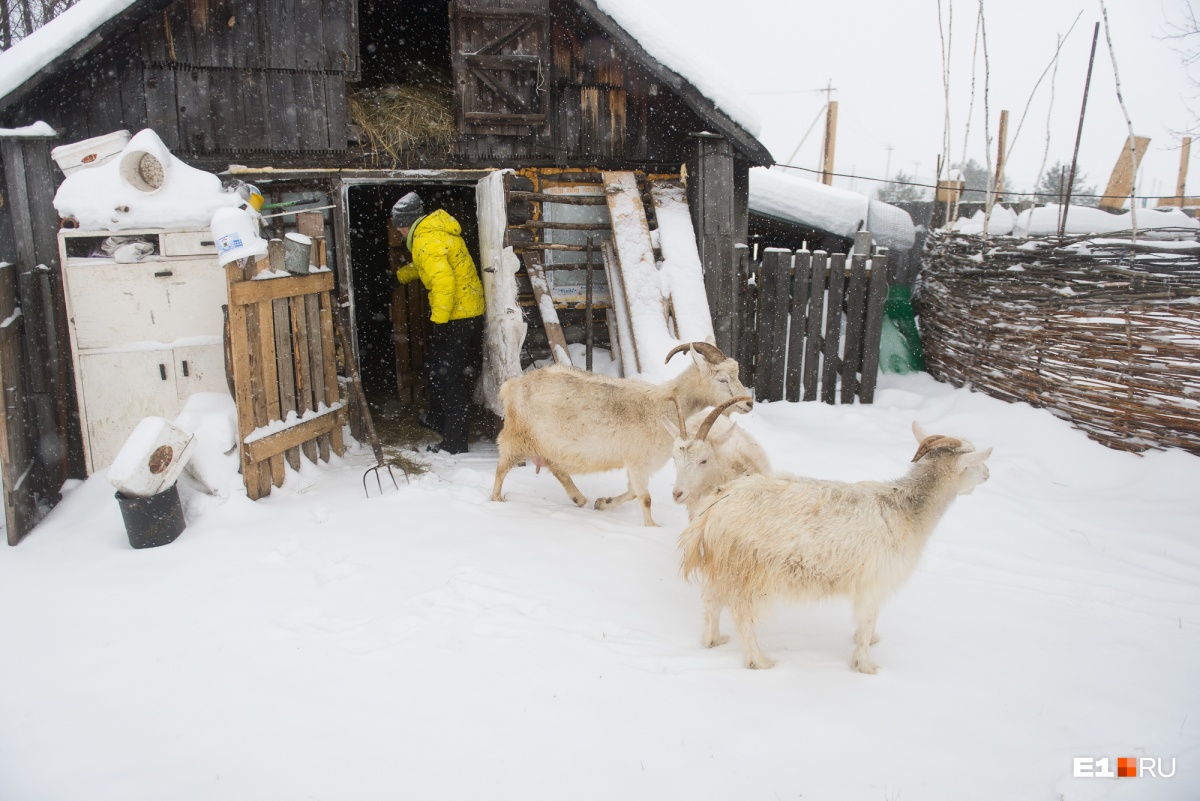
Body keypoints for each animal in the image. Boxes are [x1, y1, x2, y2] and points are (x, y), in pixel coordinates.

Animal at [487, 342, 748, 525]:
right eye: (722, 379)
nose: (748, 403)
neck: (662, 405)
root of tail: (513, 386)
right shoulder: (639, 461)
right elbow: (645, 498)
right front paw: (652, 527)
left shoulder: (635, 463)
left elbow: (632, 493)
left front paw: (603, 503)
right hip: (518, 436)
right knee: (502, 466)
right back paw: (497, 499)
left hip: (547, 443)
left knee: (556, 467)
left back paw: (579, 498)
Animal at [681, 422, 988, 671]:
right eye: (974, 462)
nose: (987, 474)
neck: (906, 510)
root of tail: (713, 508)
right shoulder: (875, 581)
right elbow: (866, 620)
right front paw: (866, 666)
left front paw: (873, 641)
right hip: (746, 569)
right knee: (742, 616)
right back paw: (760, 661)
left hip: (724, 565)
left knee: (712, 602)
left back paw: (713, 640)